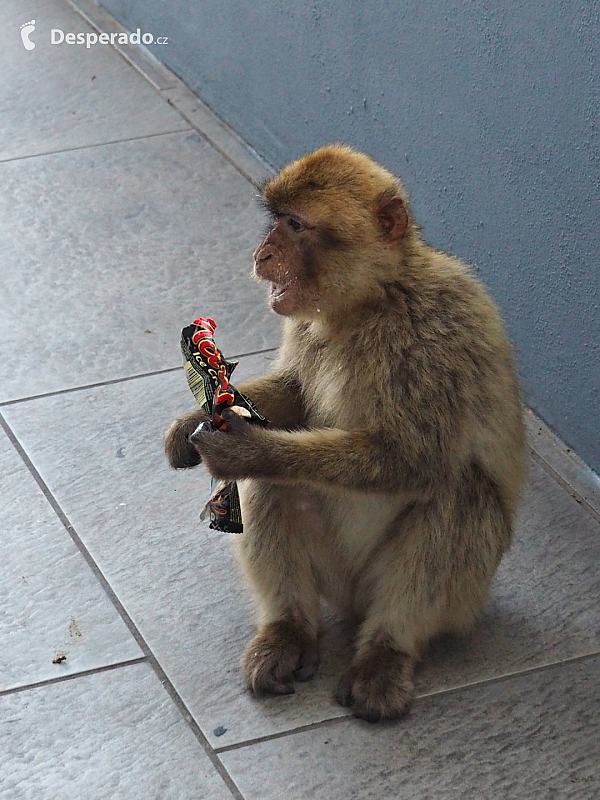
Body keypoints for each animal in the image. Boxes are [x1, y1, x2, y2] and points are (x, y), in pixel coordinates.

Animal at [164, 145, 524, 724]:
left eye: (295, 225)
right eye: (275, 221)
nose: (263, 253)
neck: (370, 304)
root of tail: (356, 608)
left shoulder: (436, 337)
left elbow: (414, 460)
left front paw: (248, 447)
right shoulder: (304, 324)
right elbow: (293, 393)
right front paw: (189, 422)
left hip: (459, 599)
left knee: (460, 494)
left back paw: (386, 649)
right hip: (334, 580)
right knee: (274, 490)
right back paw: (289, 628)